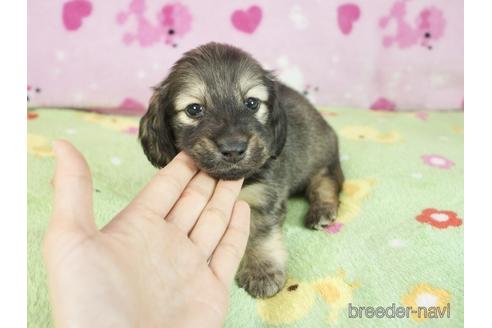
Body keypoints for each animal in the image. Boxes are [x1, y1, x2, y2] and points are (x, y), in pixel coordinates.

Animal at [138, 42, 344, 298]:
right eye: (194, 109)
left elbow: (259, 236)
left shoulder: (262, 199)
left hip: (318, 157)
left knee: (326, 180)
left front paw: (261, 271)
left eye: (252, 103)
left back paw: (322, 210)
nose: (234, 149)